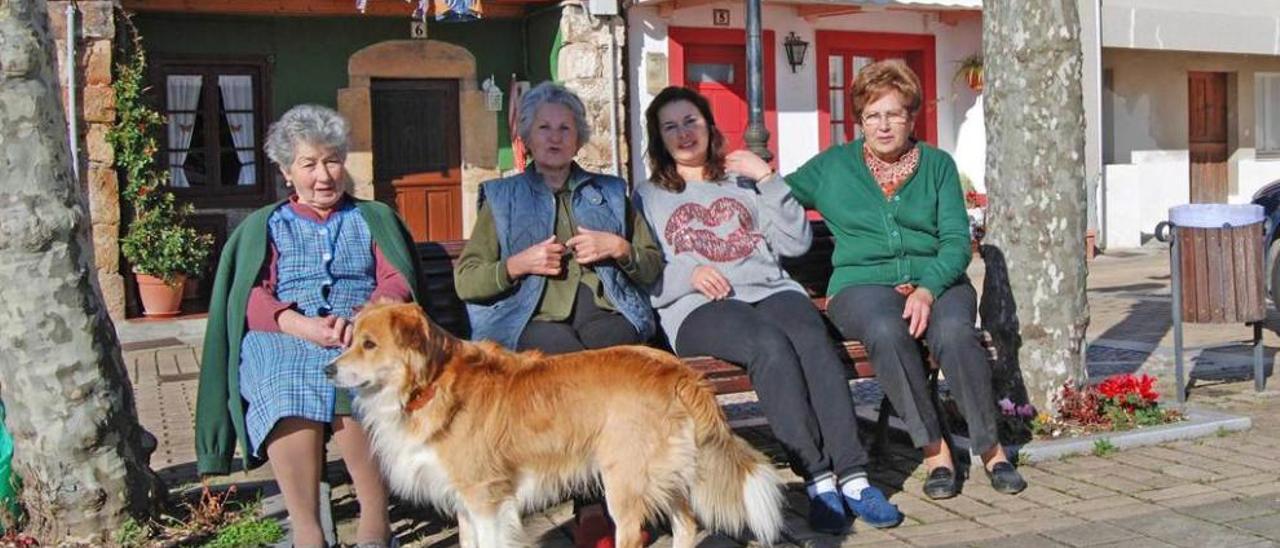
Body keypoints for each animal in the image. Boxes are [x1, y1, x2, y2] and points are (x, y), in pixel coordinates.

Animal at [325, 303, 783, 548]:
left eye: (369, 345)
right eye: (350, 340)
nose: (328, 370)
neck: (431, 383)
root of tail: (676, 369)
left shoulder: (486, 499)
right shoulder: (464, 503)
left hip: (625, 480)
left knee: (636, 533)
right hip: (658, 473)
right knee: (686, 525)